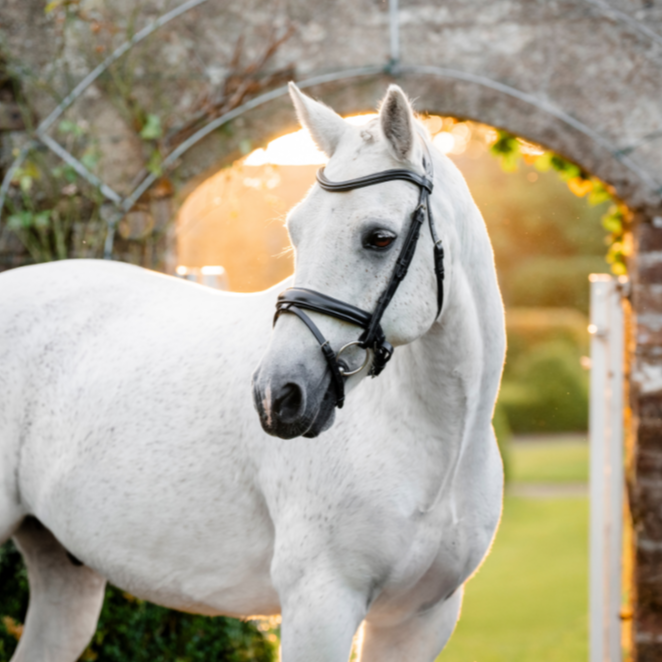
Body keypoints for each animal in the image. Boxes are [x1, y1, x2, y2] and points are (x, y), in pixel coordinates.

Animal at [0, 83, 505, 662]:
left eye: (379, 237)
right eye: (296, 230)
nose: (277, 395)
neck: (439, 446)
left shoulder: (418, 621)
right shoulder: (320, 606)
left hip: (65, 574)